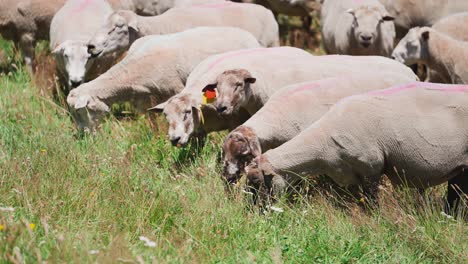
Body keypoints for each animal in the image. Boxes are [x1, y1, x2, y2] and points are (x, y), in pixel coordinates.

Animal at [67, 26, 262, 132]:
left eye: (79, 111)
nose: (84, 135)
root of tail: (249, 35)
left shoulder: (175, 88)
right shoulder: (144, 100)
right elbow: (152, 122)